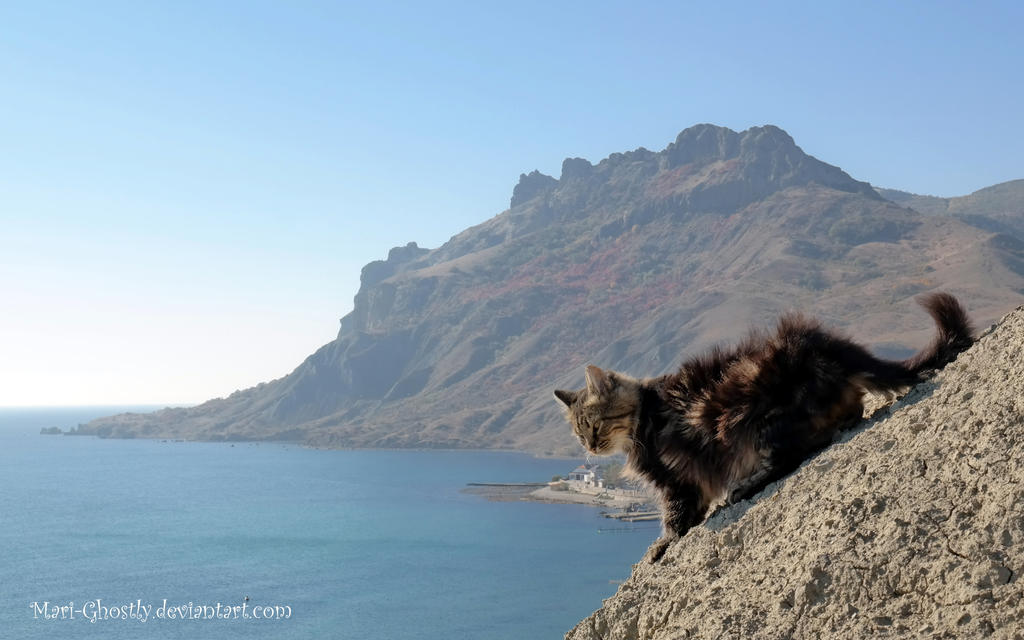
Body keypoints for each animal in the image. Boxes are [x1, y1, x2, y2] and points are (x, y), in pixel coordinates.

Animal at [557, 292, 970, 561]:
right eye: (579, 432)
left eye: (594, 425)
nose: (590, 446)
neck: (644, 414)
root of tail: (828, 346)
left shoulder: (676, 480)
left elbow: (675, 517)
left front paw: (663, 544)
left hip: (751, 419)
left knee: (794, 453)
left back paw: (743, 487)